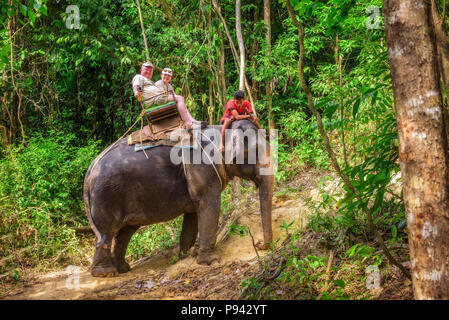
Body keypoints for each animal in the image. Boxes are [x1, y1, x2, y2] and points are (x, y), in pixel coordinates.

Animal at [83, 120, 272, 278]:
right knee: (107, 230)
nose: (259, 244)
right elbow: (209, 204)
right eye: (256, 151)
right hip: (106, 196)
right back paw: (105, 273)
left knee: (125, 231)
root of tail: (91, 167)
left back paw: (123, 268)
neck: (222, 129)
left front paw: (187, 256)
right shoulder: (202, 169)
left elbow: (193, 216)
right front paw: (210, 261)